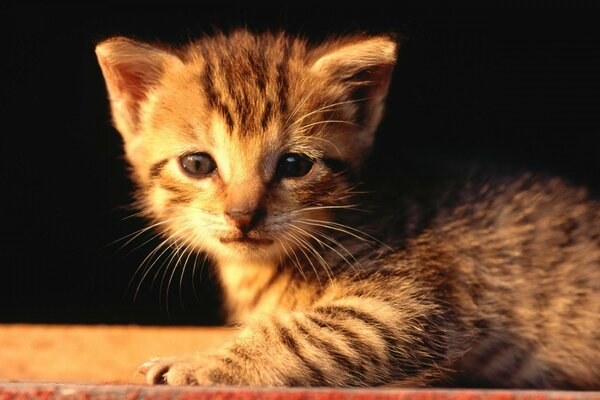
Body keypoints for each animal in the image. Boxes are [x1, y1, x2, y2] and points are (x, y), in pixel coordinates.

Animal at [95, 30, 600, 388]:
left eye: (294, 165)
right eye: (197, 164)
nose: (243, 215)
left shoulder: (407, 303)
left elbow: (298, 333)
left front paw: (194, 364)